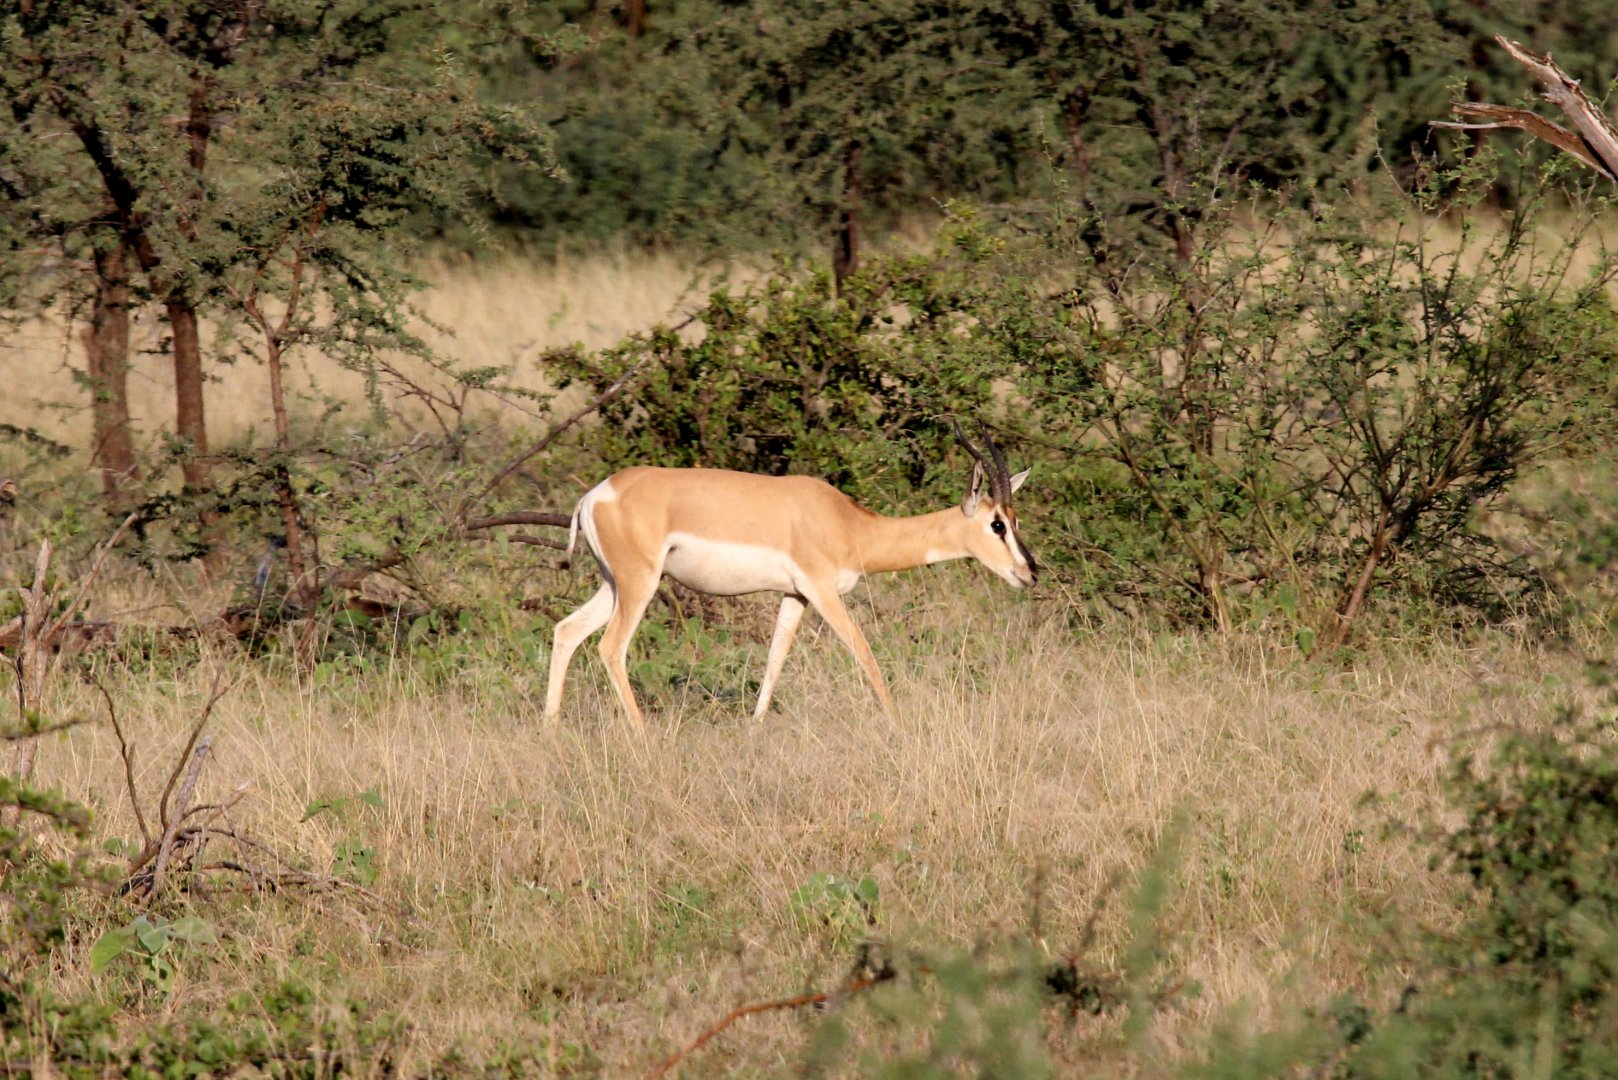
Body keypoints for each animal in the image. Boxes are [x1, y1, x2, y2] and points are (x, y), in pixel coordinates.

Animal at [544, 427, 1035, 726]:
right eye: (997, 524)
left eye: (1016, 519)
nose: (1030, 572)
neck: (849, 525)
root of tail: (594, 495)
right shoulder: (822, 592)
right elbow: (866, 656)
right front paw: (897, 725)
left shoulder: (794, 596)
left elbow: (775, 660)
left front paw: (755, 727)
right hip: (640, 584)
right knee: (610, 647)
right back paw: (644, 736)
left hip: (614, 584)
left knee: (567, 630)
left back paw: (551, 730)